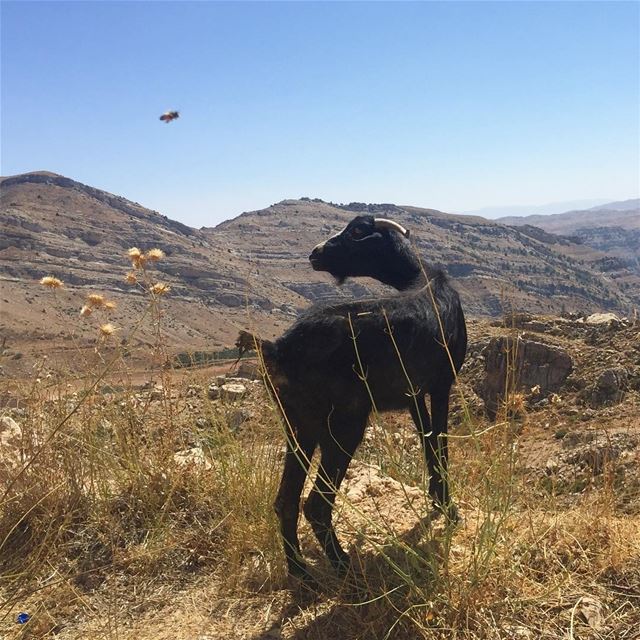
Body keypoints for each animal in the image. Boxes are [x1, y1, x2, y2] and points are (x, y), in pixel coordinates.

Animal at [252, 215, 468, 580]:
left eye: (355, 231)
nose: (316, 252)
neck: (421, 278)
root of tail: (278, 348)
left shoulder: (414, 395)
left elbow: (427, 442)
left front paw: (437, 500)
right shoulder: (442, 384)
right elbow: (440, 444)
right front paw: (450, 508)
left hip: (299, 424)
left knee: (285, 500)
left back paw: (300, 571)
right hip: (343, 424)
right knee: (316, 504)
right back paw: (345, 568)